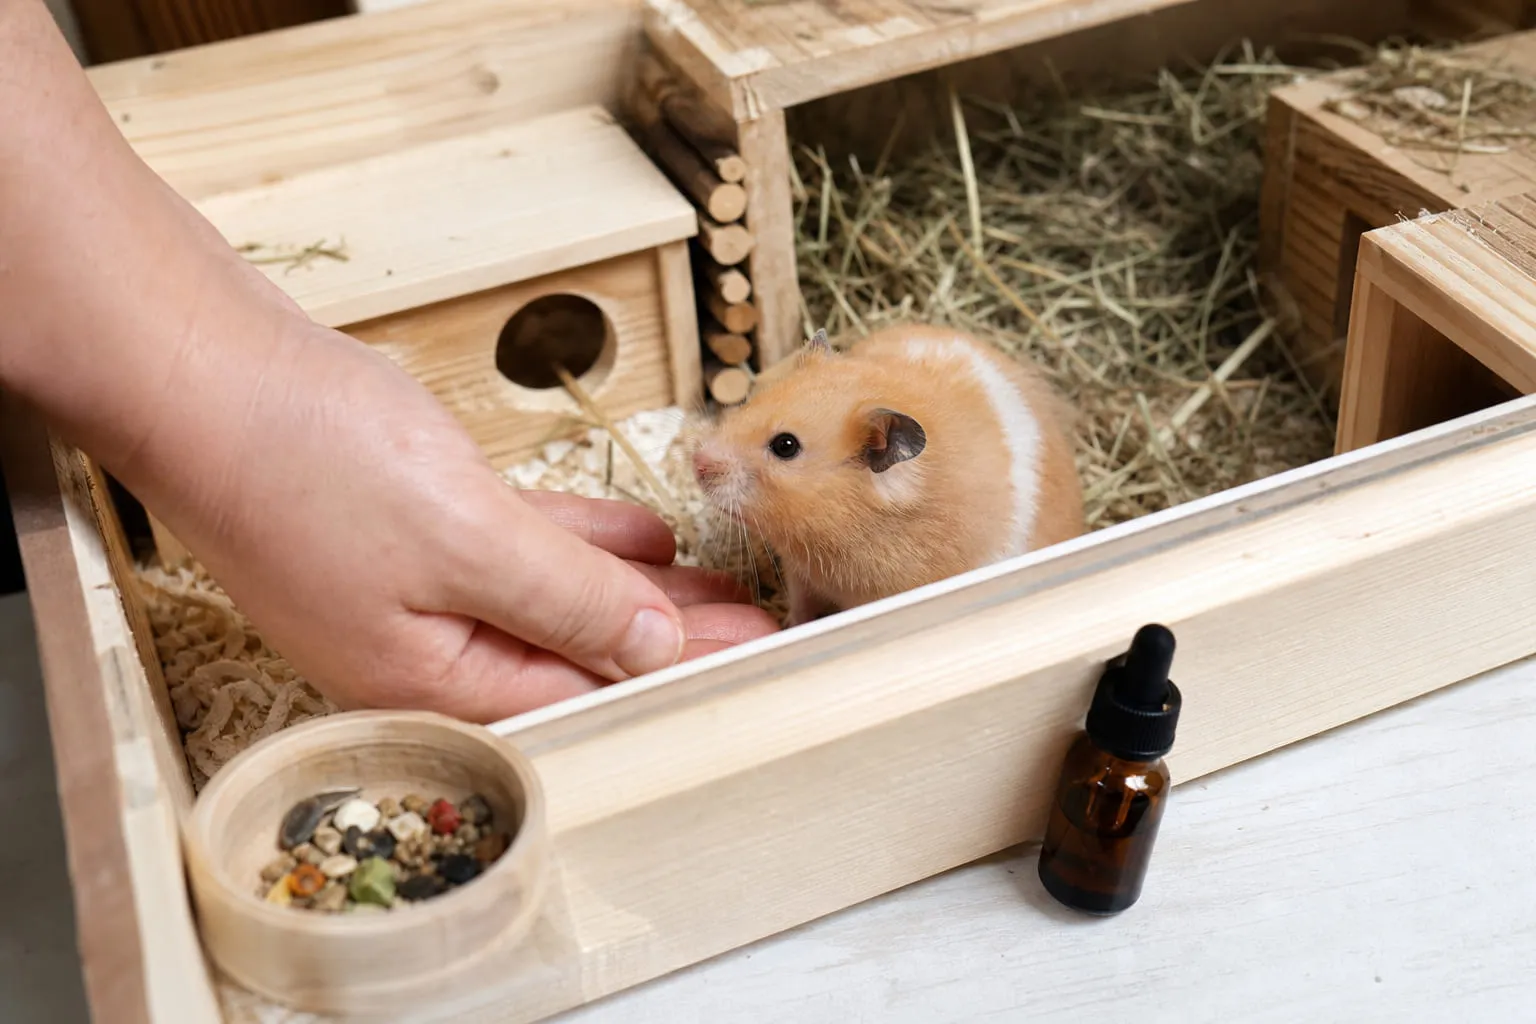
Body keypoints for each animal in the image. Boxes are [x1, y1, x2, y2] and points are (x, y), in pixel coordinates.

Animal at [690, 323, 1086, 626]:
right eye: (749, 402)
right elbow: (801, 606)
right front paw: (788, 625)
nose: (697, 462)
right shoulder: (799, 572)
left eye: (785, 446)